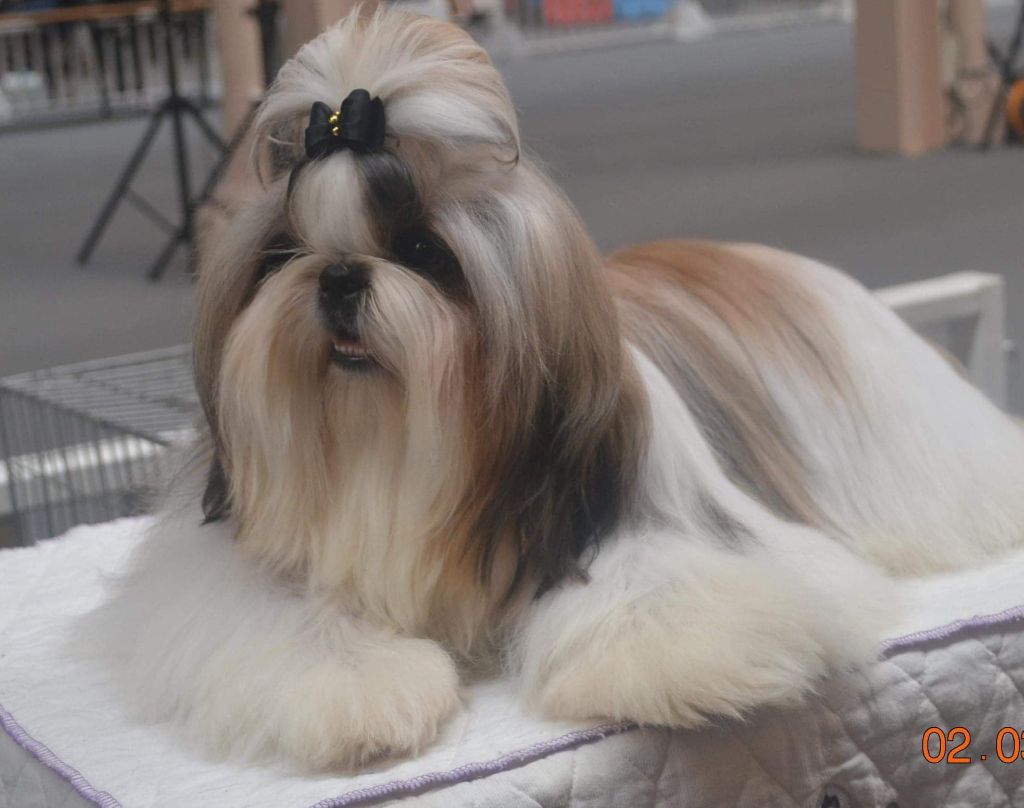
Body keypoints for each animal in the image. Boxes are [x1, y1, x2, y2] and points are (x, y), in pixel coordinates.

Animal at [82, 9, 1024, 770]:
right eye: (280, 253)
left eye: (424, 252)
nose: (339, 276)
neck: (394, 449)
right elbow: (279, 614)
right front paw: (365, 690)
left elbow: (664, 582)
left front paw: (679, 658)